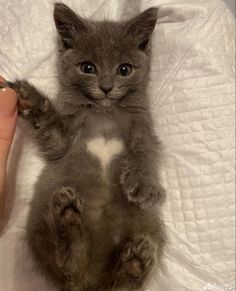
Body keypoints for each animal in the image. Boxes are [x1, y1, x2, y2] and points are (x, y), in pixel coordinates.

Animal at [4, 2, 166, 291]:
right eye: (87, 67)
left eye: (124, 69)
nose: (106, 87)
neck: (104, 112)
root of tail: (91, 283)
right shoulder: (64, 138)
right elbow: (54, 135)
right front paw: (30, 98)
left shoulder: (143, 127)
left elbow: (145, 152)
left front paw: (144, 186)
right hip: (38, 227)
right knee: (68, 268)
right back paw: (68, 223)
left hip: (151, 226)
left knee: (119, 284)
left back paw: (135, 262)